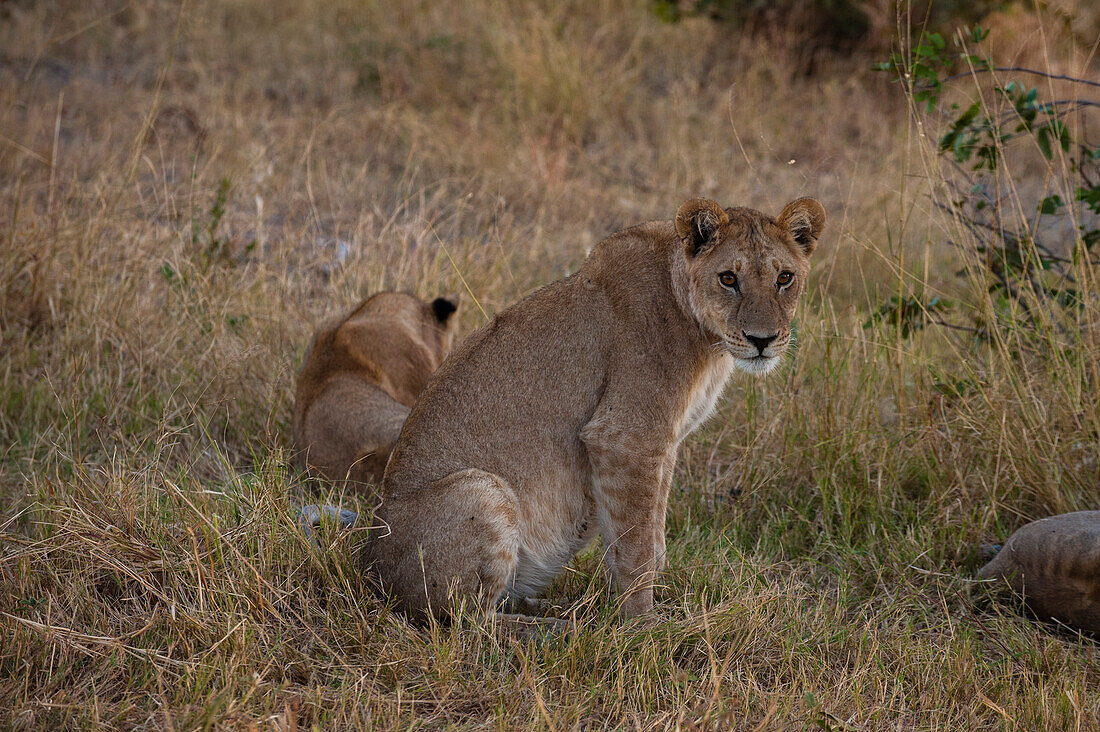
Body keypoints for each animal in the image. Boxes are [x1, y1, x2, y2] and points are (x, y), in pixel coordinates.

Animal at [360, 193, 827, 616]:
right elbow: (636, 547)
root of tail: (371, 572)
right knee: (469, 624)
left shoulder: (664, 445)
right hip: (480, 490)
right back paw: (554, 628)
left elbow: (654, 535)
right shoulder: (624, 438)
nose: (762, 340)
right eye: (728, 278)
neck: (706, 339)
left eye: (785, 278)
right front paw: (644, 629)